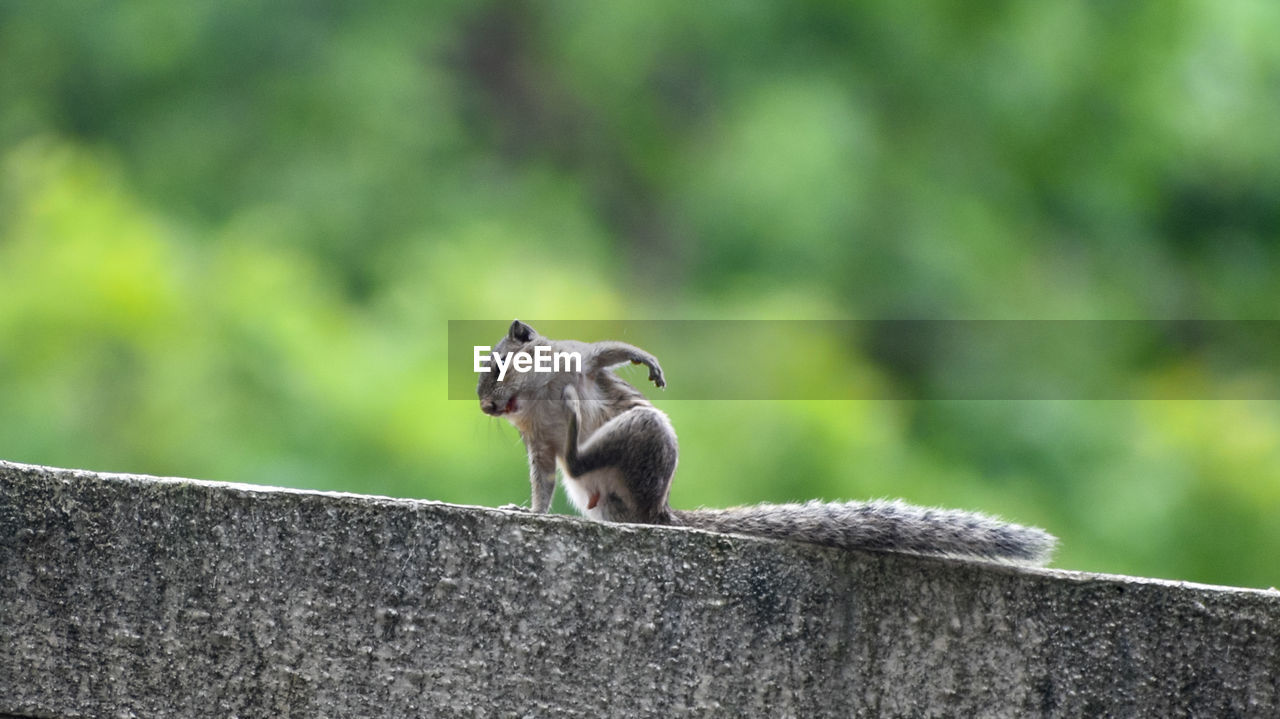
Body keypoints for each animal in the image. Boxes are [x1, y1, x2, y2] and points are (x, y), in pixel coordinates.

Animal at [476, 316, 1054, 562]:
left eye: (499, 363)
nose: (484, 406)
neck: (539, 397)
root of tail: (657, 509)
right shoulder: (536, 443)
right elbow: (543, 481)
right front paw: (529, 511)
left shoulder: (581, 358)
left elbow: (611, 352)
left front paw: (646, 362)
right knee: (572, 469)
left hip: (643, 434)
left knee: (579, 460)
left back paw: (578, 427)